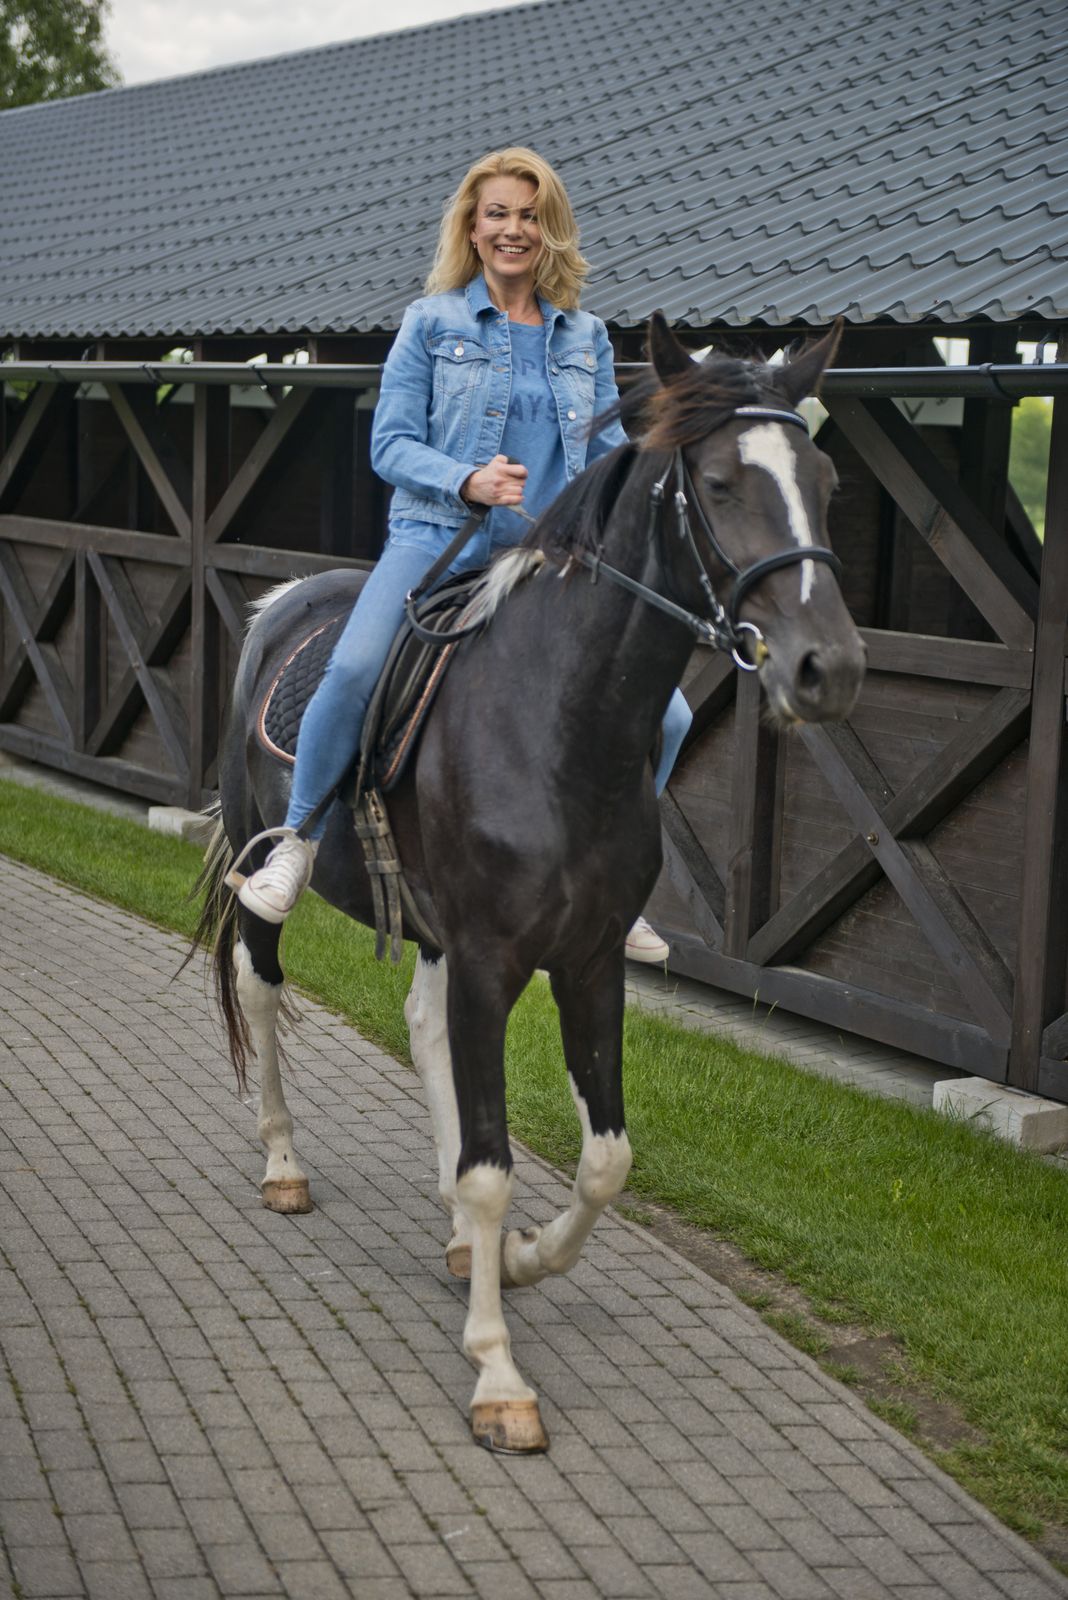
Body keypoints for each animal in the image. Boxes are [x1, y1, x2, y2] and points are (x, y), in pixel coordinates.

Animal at [194, 318, 869, 1459]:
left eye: (823, 482)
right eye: (721, 482)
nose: (830, 668)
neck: (560, 724)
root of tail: (283, 602)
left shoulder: (586, 964)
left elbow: (602, 1161)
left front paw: (513, 1258)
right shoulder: (490, 960)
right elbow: (492, 1162)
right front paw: (497, 1373)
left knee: (420, 1023)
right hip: (264, 874)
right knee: (263, 990)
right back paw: (283, 1165)